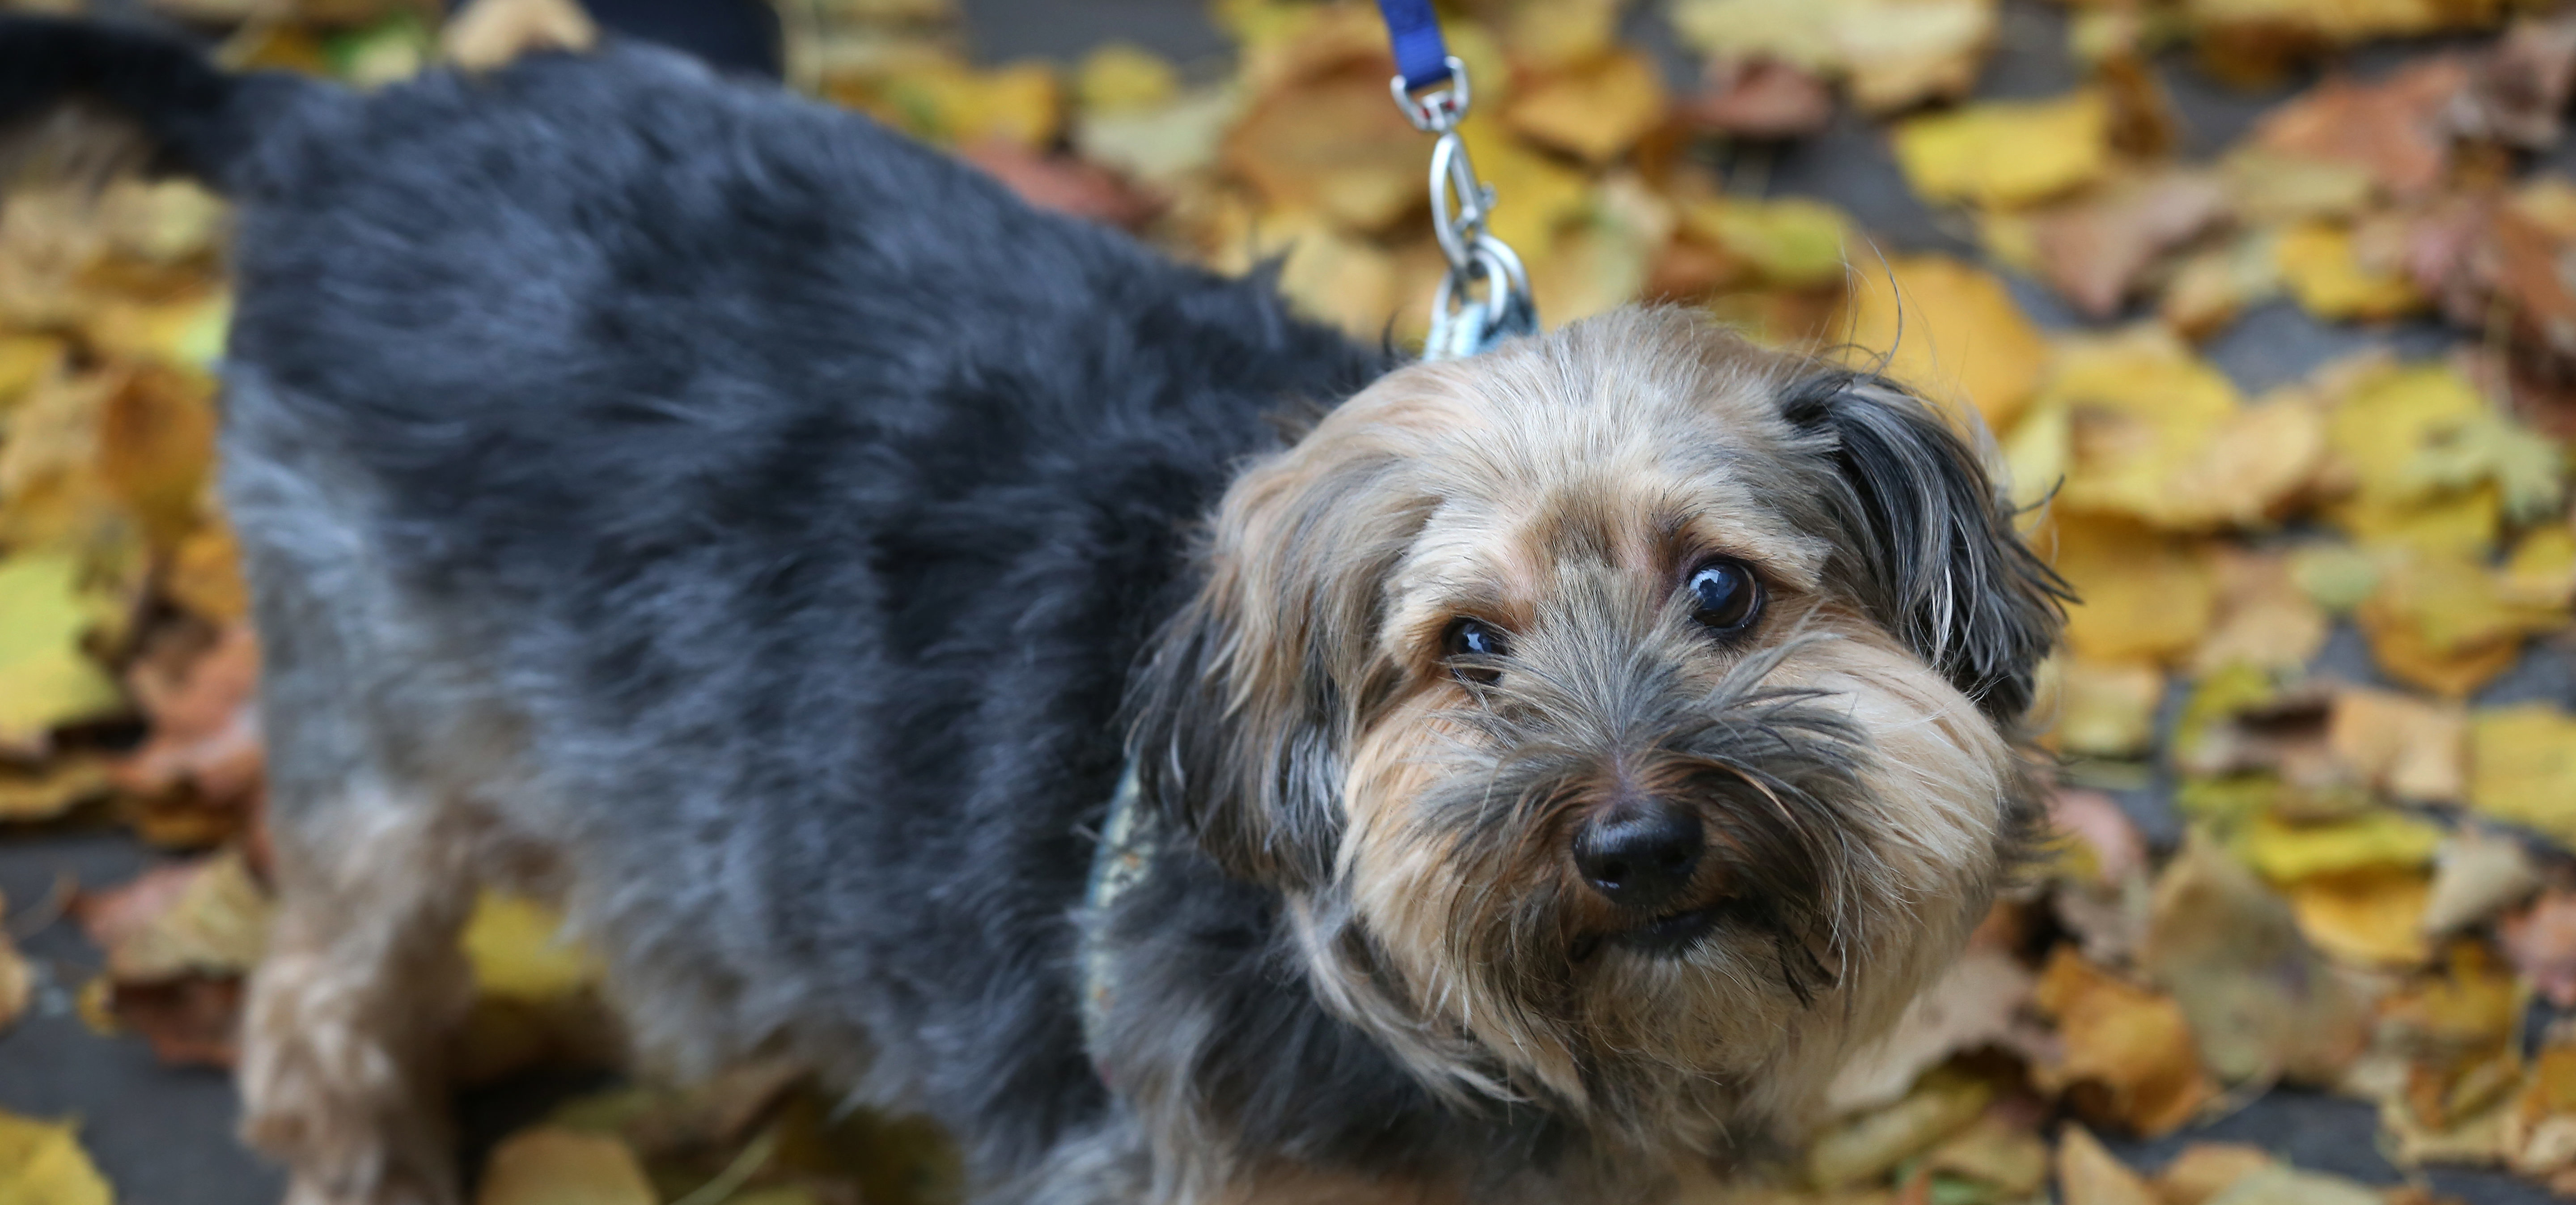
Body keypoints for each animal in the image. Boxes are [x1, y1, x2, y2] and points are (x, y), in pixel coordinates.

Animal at [0, 19, 2050, 1205]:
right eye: (1464, 647)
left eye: (1723, 589)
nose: (1635, 843)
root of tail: (329, 133)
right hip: (383, 717)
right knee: (325, 990)